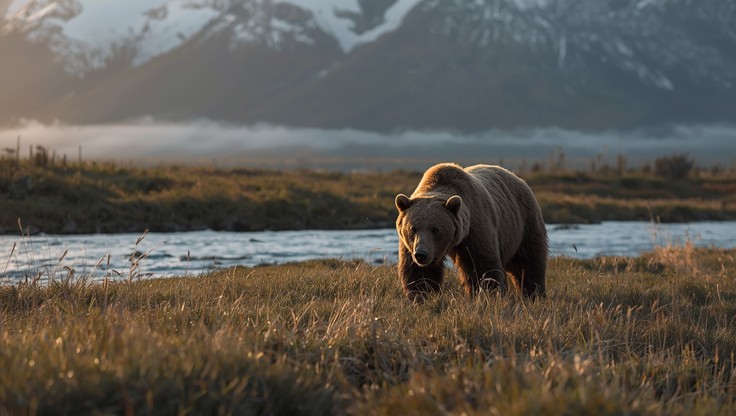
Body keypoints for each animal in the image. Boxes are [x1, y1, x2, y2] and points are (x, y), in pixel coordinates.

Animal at [395, 163, 548, 302]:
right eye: (413, 228)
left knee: (528, 262)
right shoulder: (410, 245)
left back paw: (533, 295)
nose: (421, 254)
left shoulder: (474, 229)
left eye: (435, 229)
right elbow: (419, 273)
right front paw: (420, 296)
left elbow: (481, 267)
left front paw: (488, 295)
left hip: (522, 224)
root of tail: (518, 178)